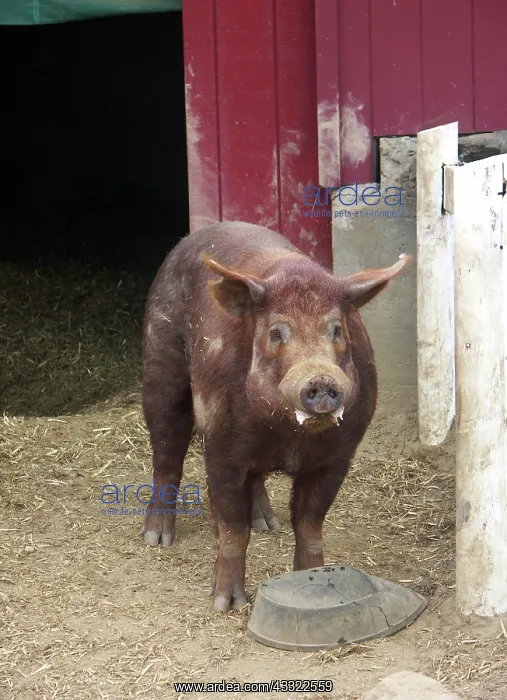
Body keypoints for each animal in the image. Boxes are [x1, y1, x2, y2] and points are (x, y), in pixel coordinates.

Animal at [141, 221, 411, 612]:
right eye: (276, 332)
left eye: (336, 330)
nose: (320, 378)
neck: (290, 435)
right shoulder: (220, 447)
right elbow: (233, 528)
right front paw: (226, 604)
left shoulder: (339, 456)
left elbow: (309, 523)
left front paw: (311, 578)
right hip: (160, 359)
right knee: (167, 452)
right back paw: (156, 538)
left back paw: (267, 524)